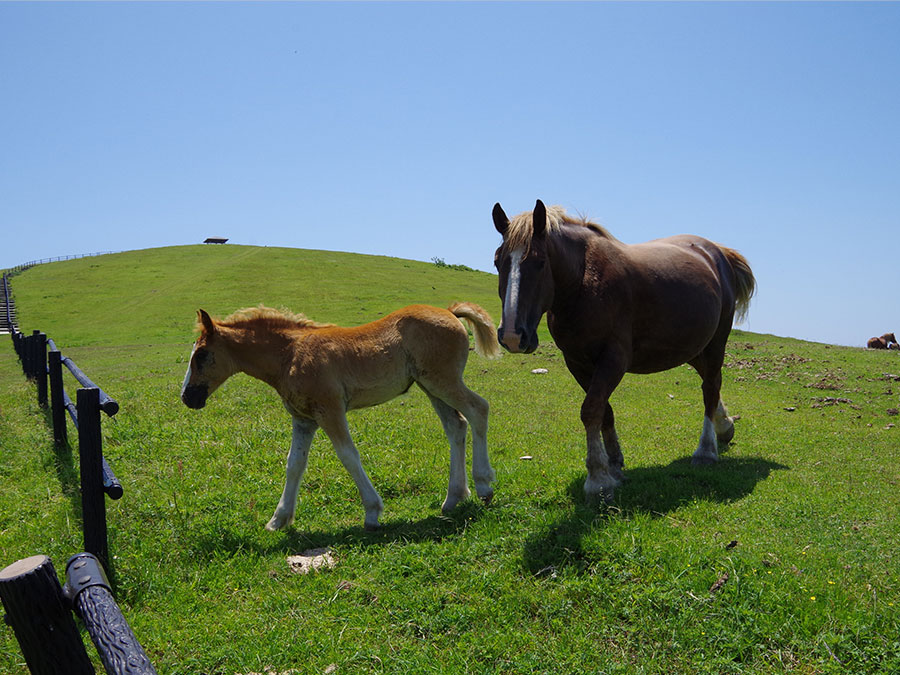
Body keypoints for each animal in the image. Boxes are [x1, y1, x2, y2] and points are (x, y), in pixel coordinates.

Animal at [179, 304, 502, 532]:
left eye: (202, 354)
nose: (187, 397)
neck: (289, 354)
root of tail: (450, 312)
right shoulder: (303, 420)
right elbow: (294, 465)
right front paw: (278, 519)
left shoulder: (330, 410)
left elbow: (348, 455)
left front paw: (372, 512)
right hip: (430, 386)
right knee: (456, 426)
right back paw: (454, 498)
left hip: (442, 380)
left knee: (478, 409)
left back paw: (484, 486)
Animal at [488, 201, 756, 502]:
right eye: (498, 262)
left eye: (540, 262)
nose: (512, 335)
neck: (584, 282)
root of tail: (718, 252)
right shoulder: (578, 362)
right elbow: (604, 411)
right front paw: (614, 465)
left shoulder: (614, 359)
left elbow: (591, 409)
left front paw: (598, 478)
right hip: (693, 347)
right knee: (711, 383)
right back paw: (725, 427)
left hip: (715, 344)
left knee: (710, 389)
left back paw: (706, 451)